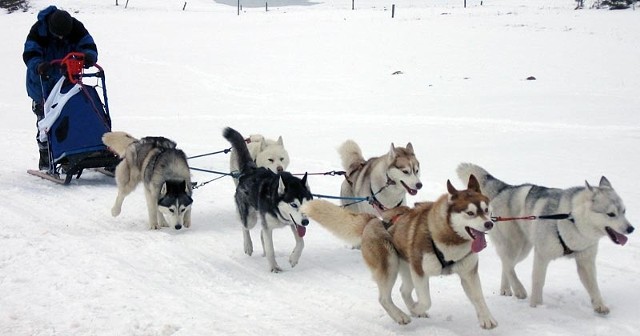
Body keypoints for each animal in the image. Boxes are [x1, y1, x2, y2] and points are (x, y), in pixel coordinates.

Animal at [224, 127, 314, 272]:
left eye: (306, 204)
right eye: (293, 204)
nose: (306, 222)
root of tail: (251, 169)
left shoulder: (294, 223)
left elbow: (301, 242)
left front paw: (294, 258)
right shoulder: (270, 227)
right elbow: (271, 249)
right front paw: (274, 267)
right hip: (250, 219)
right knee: (245, 226)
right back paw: (248, 245)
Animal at [302, 176, 498, 328]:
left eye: (486, 209)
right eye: (470, 213)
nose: (489, 224)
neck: (449, 239)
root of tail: (373, 221)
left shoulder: (468, 273)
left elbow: (478, 297)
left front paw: (487, 319)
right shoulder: (420, 271)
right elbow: (426, 300)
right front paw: (417, 308)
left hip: (405, 267)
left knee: (404, 290)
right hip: (390, 265)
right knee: (384, 298)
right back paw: (401, 315)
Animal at [458, 163, 632, 316]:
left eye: (624, 211)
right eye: (611, 214)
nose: (631, 229)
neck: (572, 219)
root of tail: (506, 188)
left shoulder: (585, 262)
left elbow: (593, 286)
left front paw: (600, 306)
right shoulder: (542, 256)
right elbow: (537, 281)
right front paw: (536, 306)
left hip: (523, 250)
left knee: (506, 265)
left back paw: (506, 289)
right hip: (516, 246)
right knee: (507, 264)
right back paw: (519, 289)